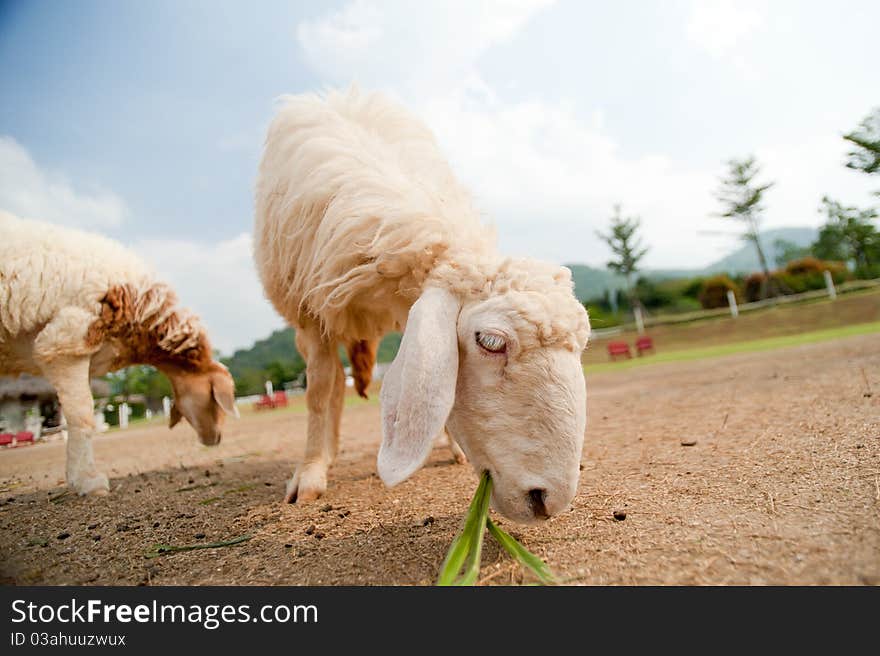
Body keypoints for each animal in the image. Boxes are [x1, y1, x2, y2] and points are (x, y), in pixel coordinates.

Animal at [254, 91, 592, 524]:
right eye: (491, 342)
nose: (548, 500)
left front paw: (454, 447)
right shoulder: (312, 310)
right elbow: (316, 393)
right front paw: (310, 473)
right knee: (329, 389)